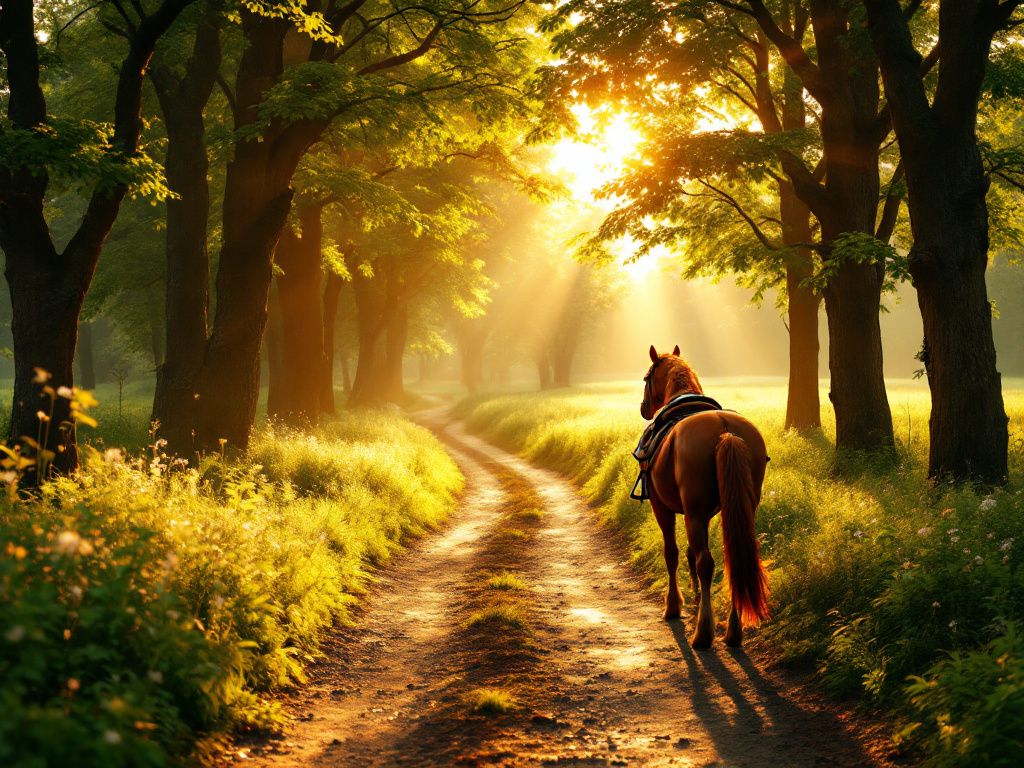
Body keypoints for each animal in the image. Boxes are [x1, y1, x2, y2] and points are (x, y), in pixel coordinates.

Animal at [640, 344, 770, 648]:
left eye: (646, 378)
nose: (643, 409)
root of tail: (725, 430)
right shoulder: (705, 514)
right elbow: (689, 553)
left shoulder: (663, 508)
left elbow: (672, 554)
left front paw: (673, 606)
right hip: (739, 510)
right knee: (733, 559)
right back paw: (733, 632)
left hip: (694, 513)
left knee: (706, 563)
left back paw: (703, 633)